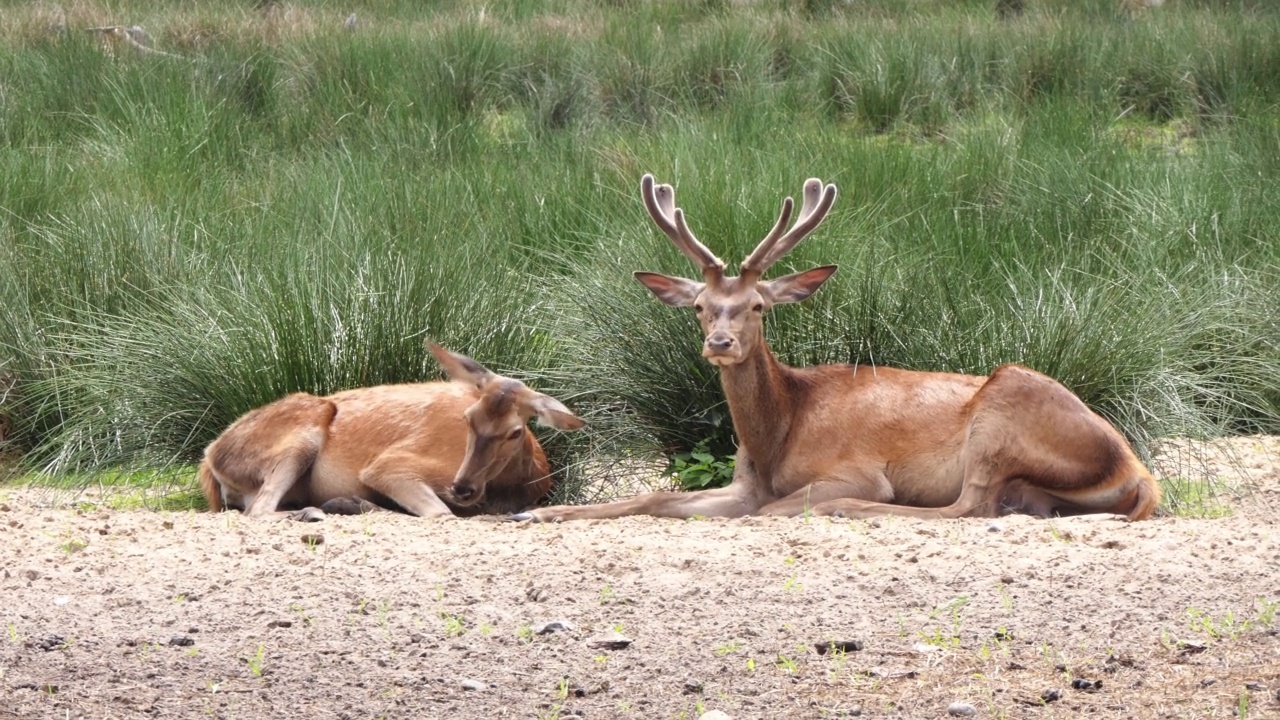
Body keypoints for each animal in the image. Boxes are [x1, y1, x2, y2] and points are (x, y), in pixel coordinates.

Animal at [199, 340, 586, 515]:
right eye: (468, 418)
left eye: (515, 431)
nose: (462, 487)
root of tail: (208, 459)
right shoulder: (390, 465)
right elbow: (440, 512)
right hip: (302, 436)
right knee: (261, 509)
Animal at [509, 174, 1162, 520]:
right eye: (699, 306)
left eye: (758, 306)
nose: (719, 342)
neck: (779, 433)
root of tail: (1136, 468)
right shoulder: (742, 482)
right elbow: (652, 496)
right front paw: (537, 510)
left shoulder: (854, 468)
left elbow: (769, 511)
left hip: (1004, 409)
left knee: (966, 507)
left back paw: (848, 510)